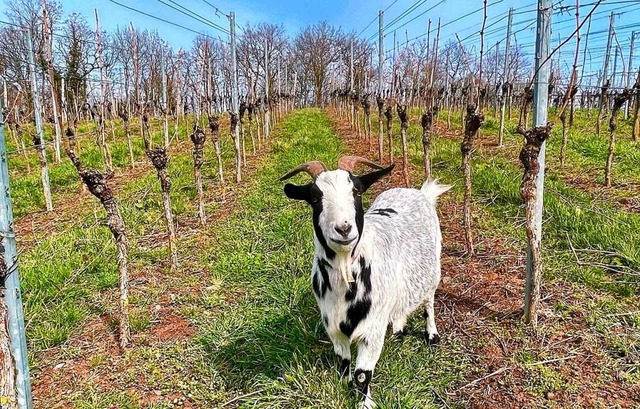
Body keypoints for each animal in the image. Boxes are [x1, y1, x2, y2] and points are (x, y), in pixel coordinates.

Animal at [280, 155, 450, 404]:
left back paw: (432, 335)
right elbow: (343, 364)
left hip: (433, 270)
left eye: (357, 191)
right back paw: (399, 330)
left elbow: (362, 375)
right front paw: (344, 386)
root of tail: (419, 193)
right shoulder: (333, 329)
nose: (343, 228)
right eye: (315, 197)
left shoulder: (373, 330)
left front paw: (365, 402)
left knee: (428, 301)